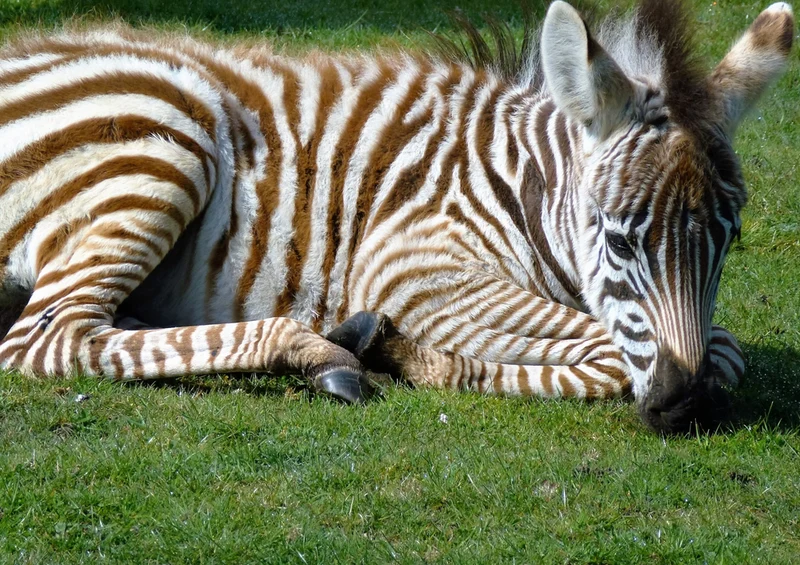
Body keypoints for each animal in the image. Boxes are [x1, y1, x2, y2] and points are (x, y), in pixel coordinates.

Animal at [0, 1, 793, 434]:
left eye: (729, 242)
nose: (684, 409)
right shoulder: (411, 264)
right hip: (163, 139)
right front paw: (406, 353)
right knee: (50, 340)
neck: (516, 183)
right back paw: (319, 351)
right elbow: (609, 348)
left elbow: (722, 350)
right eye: (622, 240)